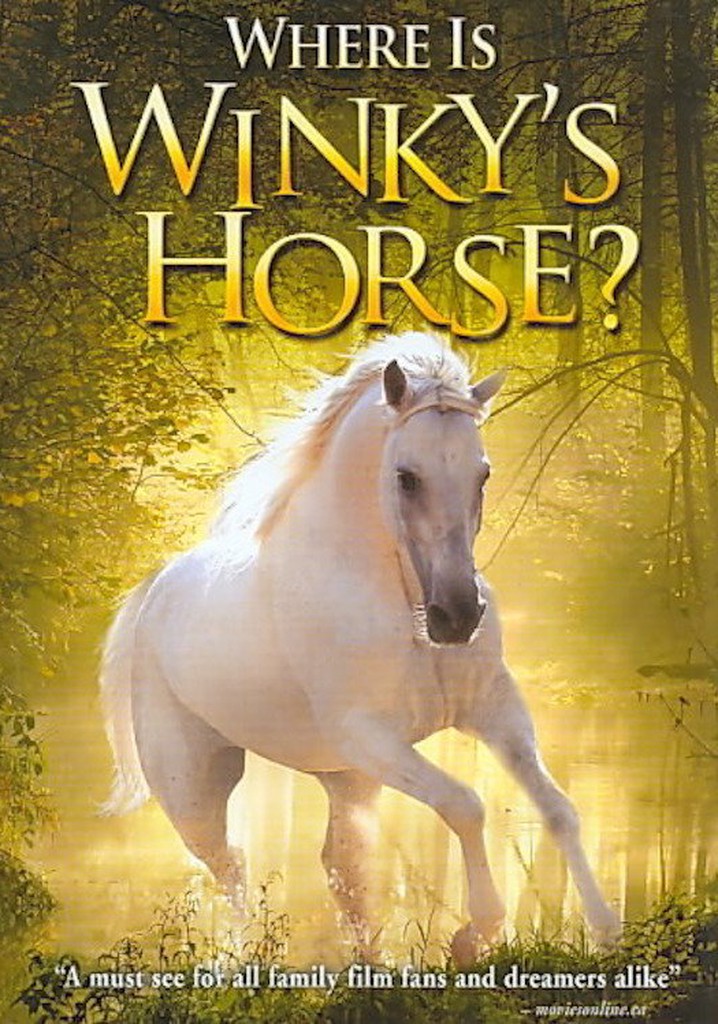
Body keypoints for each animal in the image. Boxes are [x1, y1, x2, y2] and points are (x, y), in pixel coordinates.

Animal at [100, 331, 620, 963]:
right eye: (406, 475)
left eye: (483, 474)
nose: (457, 617)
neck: (403, 606)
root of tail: (155, 590)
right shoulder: (370, 736)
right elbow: (465, 805)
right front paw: (475, 932)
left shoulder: (495, 710)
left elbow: (558, 809)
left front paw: (606, 928)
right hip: (194, 786)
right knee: (230, 866)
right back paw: (249, 958)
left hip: (346, 779)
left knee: (339, 865)